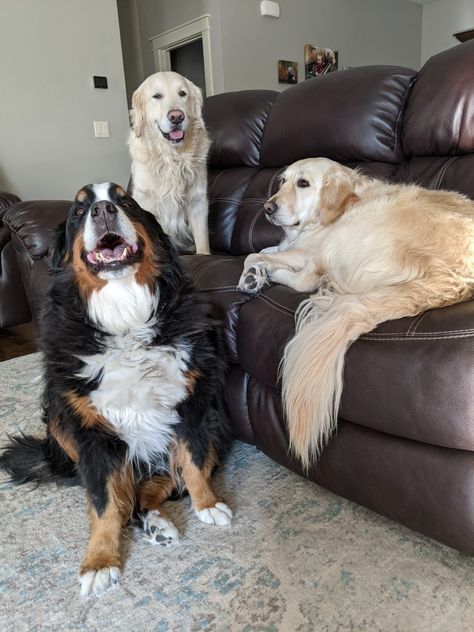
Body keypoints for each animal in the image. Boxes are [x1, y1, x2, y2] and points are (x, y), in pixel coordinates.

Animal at [0, 184, 232, 596]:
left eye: (126, 201)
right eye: (78, 211)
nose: (104, 210)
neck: (125, 316)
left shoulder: (193, 403)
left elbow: (192, 461)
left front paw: (207, 504)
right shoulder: (93, 432)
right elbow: (105, 502)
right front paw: (100, 560)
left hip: (219, 424)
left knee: (151, 488)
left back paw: (158, 523)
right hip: (59, 418)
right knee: (124, 496)